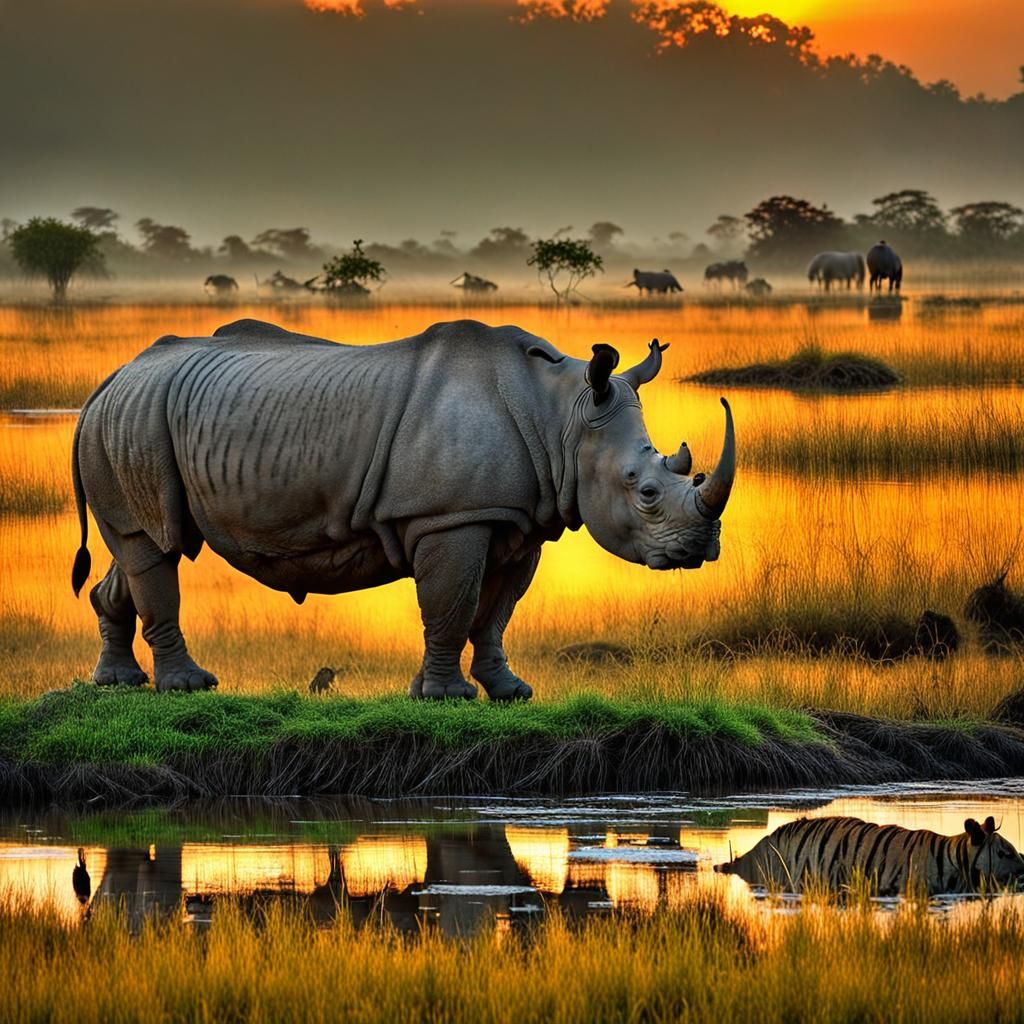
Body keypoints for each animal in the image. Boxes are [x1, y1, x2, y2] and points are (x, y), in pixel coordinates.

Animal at [71, 319, 735, 700]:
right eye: (643, 490)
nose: (701, 550)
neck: (562, 415)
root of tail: (107, 379)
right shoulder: (451, 516)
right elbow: (452, 602)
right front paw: (445, 697)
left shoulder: (520, 519)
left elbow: (494, 612)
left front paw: (510, 691)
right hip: (132, 418)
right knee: (154, 545)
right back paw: (188, 689)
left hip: (130, 419)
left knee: (138, 549)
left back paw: (118, 685)